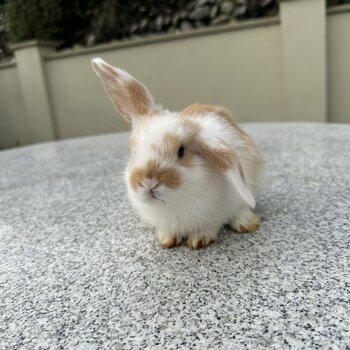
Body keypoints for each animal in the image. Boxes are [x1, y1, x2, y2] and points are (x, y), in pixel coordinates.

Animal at [91, 57, 264, 249]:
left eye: (181, 151)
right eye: (133, 149)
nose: (149, 183)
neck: (174, 204)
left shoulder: (215, 213)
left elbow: (210, 225)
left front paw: (199, 239)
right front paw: (167, 240)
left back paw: (246, 223)